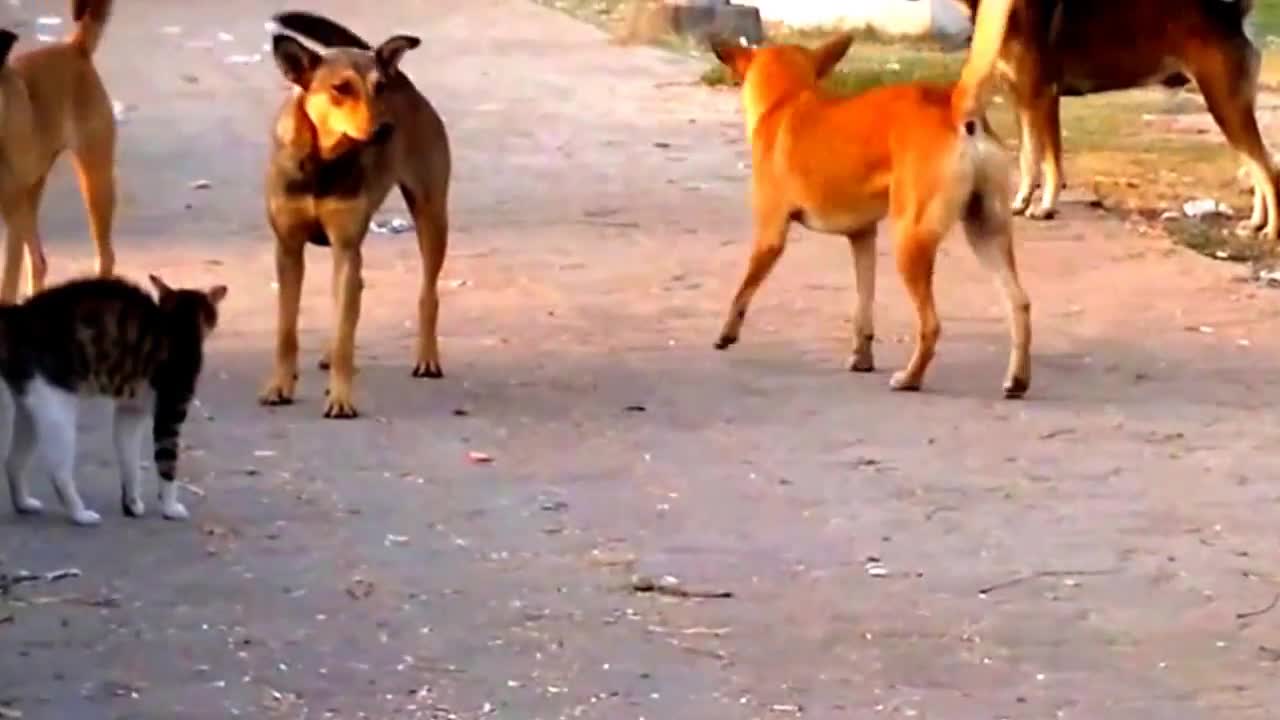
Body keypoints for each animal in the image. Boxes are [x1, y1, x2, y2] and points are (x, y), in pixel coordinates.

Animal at [0, 0, 116, 302]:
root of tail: (75, 48)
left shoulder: (12, 218)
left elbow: (7, 285)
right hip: (31, 196)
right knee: (39, 262)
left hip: (94, 180)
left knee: (106, 257)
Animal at [0, 271, 227, 525]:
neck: (178, 325)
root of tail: (19, 314)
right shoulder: (170, 411)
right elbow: (167, 466)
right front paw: (169, 507)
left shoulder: (130, 412)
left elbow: (130, 462)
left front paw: (132, 503)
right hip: (57, 409)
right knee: (58, 473)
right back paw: (80, 513)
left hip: (30, 408)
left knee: (12, 462)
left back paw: (23, 503)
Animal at [257, 11, 453, 417]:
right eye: (340, 88)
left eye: (379, 88)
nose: (385, 128)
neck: (323, 163)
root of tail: (405, 79)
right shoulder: (288, 249)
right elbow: (287, 329)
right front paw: (279, 386)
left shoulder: (346, 247)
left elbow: (345, 337)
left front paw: (341, 398)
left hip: (431, 215)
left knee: (427, 293)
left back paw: (427, 357)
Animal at [711, 0, 1029, 394]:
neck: (788, 101)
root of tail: (954, 105)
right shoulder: (862, 237)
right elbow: (864, 304)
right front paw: (862, 357)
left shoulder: (770, 235)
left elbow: (743, 289)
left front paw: (727, 332)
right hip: (986, 232)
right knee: (1019, 304)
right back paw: (1017, 380)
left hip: (911, 239)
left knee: (932, 324)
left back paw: (910, 378)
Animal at [962, 0, 1280, 235]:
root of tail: (1232, 14)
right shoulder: (1022, 101)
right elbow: (1028, 159)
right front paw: (1020, 203)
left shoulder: (1043, 98)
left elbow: (1051, 163)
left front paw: (1045, 208)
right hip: (1229, 109)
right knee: (1257, 167)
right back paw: (1255, 223)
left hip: (1224, 105)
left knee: (1268, 170)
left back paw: (1271, 231)